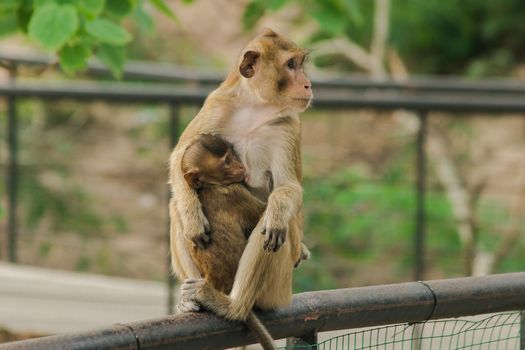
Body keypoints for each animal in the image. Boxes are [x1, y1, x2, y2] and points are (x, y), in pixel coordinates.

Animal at [170, 28, 312, 326]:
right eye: (290, 65)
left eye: (299, 64)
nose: (307, 85)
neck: (256, 107)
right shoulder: (217, 104)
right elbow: (178, 157)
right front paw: (192, 217)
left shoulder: (288, 126)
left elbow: (288, 188)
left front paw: (277, 212)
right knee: (173, 204)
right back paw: (193, 298)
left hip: (280, 287)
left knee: (272, 228)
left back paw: (233, 306)